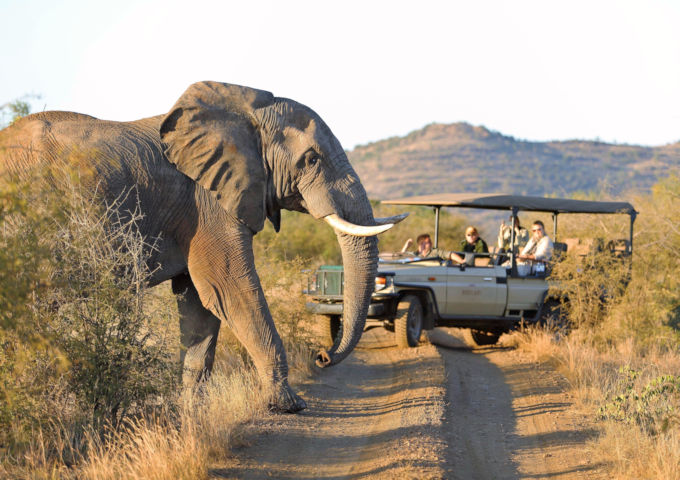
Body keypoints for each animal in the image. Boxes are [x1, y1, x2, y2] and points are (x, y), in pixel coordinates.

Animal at [0, 81, 404, 412]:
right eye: (311, 159)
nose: (322, 356)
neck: (247, 111)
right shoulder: (209, 205)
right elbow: (230, 289)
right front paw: (290, 404)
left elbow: (200, 303)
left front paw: (193, 414)